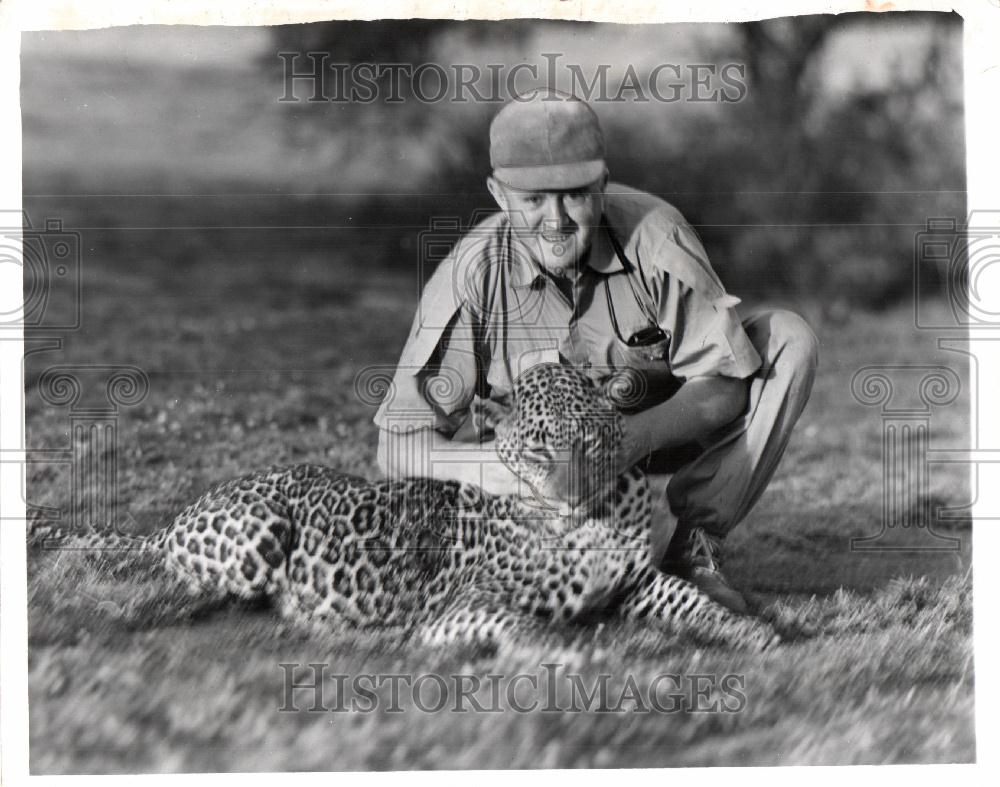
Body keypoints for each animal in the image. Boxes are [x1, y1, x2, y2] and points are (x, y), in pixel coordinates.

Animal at [29, 366, 780, 648]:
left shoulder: (636, 581)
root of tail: (180, 514)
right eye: (537, 450)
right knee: (169, 580)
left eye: (591, 441)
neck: (586, 525)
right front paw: (578, 653)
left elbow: (693, 600)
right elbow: (529, 624)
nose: (570, 494)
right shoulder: (462, 606)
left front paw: (754, 628)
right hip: (254, 536)